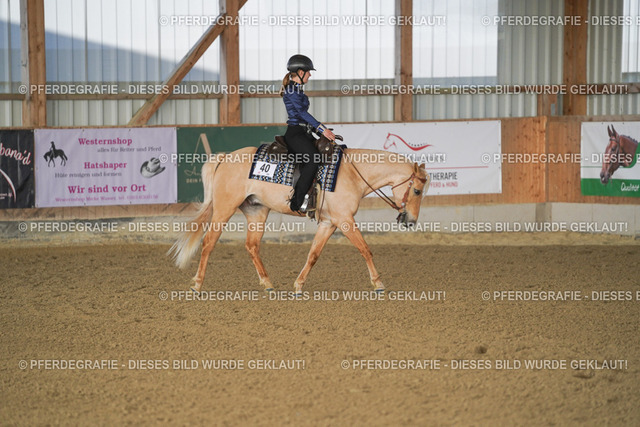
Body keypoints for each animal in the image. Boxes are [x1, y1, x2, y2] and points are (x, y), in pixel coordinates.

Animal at [169, 146, 430, 294]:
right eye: (417, 191)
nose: (411, 221)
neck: (353, 173)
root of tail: (225, 158)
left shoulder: (329, 223)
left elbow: (313, 254)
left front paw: (298, 285)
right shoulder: (345, 219)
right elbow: (365, 249)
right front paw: (378, 283)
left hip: (256, 212)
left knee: (252, 246)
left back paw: (268, 284)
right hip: (224, 209)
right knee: (208, 242)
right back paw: (197, 285)